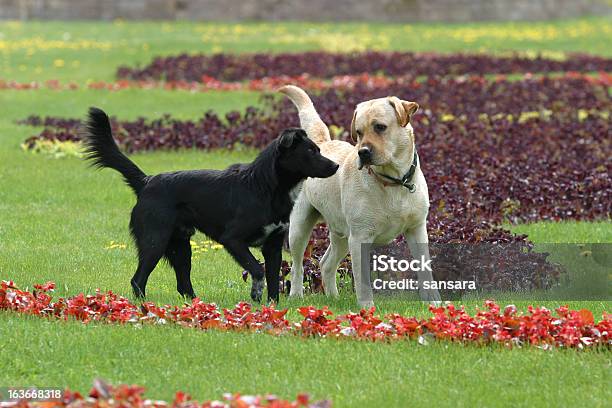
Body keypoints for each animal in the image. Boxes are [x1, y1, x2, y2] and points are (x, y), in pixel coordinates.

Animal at [83, 108, 338, 302]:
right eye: (310, 151)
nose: (336, 166)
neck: (264, 186)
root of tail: (147, 181)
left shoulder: (273, 246)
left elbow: (274, 280)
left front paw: (271, 306)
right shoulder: (233, 239)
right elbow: (257, 269)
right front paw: (256, 293)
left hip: (180, 246)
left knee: (183, 284)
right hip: (155, 240)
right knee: (138, 279)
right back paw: (143, 307)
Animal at [280, 85, 442, 306]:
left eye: (380, 127)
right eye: (358, 132)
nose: (363, 152)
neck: (393, 182)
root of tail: (322, 143)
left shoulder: (416, 228)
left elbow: (425, 269)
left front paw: (433, 302)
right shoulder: (359, 237)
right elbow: (362, 280)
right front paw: (367, 308)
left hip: (341, 234)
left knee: (326, 263)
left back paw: (333, 297)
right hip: (300, 227)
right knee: (297, 265)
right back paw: (296, 295)